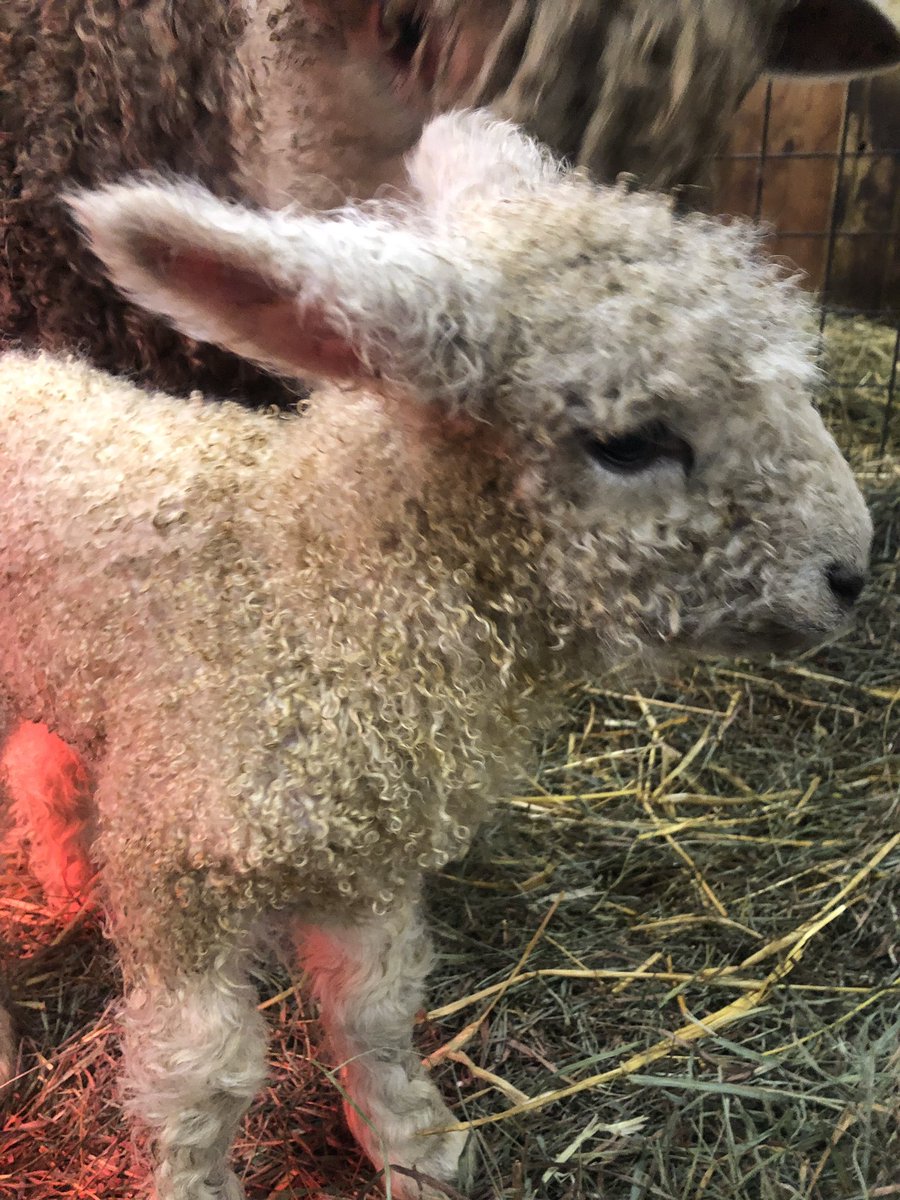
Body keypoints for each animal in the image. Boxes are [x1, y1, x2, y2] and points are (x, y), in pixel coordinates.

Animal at [0, 110, 873, 1199]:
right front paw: (194, 1179)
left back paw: (75, 883)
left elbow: (374, 1011)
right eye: (631, 442)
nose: (852, 568)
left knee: (45, 760)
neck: (310, 589)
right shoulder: (180, 879)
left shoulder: (373, 862)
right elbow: (200, 1073)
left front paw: (414, 1144)